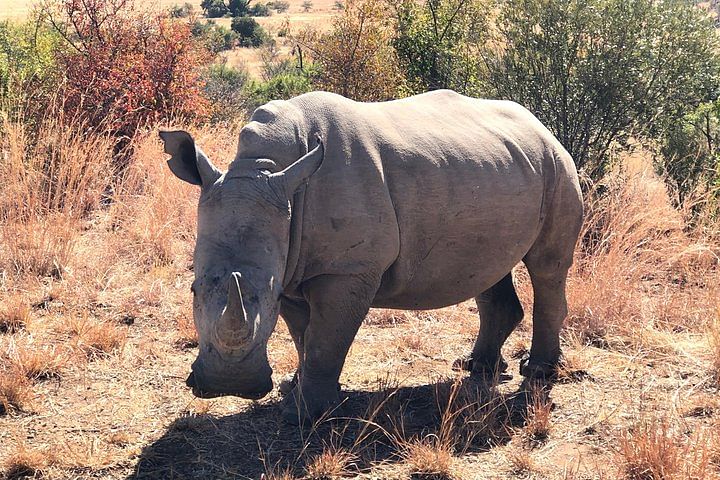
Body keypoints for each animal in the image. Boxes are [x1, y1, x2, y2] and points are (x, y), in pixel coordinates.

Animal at [160, 90, 583, 424]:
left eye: (269, 295)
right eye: (193, 290)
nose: (227, 385)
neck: (263, 168)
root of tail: (541, 125)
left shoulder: (344, 270)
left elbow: (325, 340)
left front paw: (308, 413)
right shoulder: (295, 268)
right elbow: (303, 336)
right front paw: (294, 389)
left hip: (558, 166)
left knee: (547, 267)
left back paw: (538, 372)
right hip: (498, 170)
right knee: (489, 268)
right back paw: (476, 367)